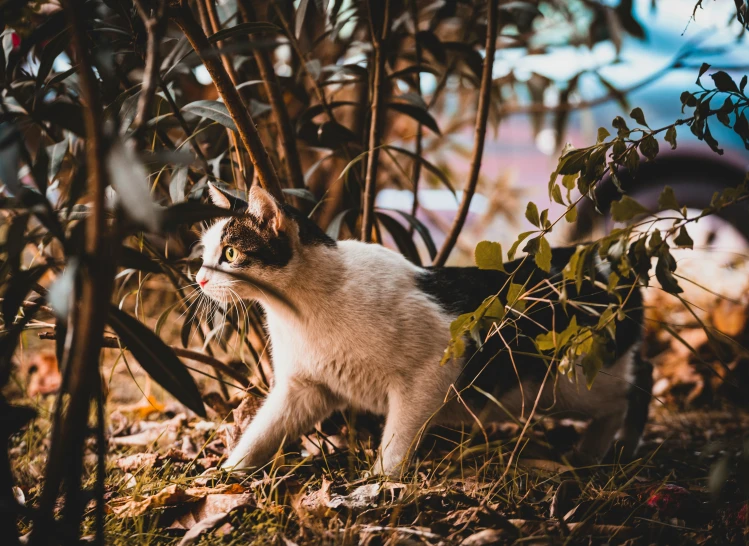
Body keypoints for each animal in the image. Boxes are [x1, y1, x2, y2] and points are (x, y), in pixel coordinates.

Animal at [196, 183, 652, 472]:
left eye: (230, 253)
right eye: (204, 254)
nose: (198, 278)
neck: (297, 312)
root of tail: (603, 256)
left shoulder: (431, 373)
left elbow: (398, 437)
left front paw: (379, 484)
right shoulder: (304, 388)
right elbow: (262, 432)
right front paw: (227, 472)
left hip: (571, 381)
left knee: (632, 388)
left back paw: (598, 451)